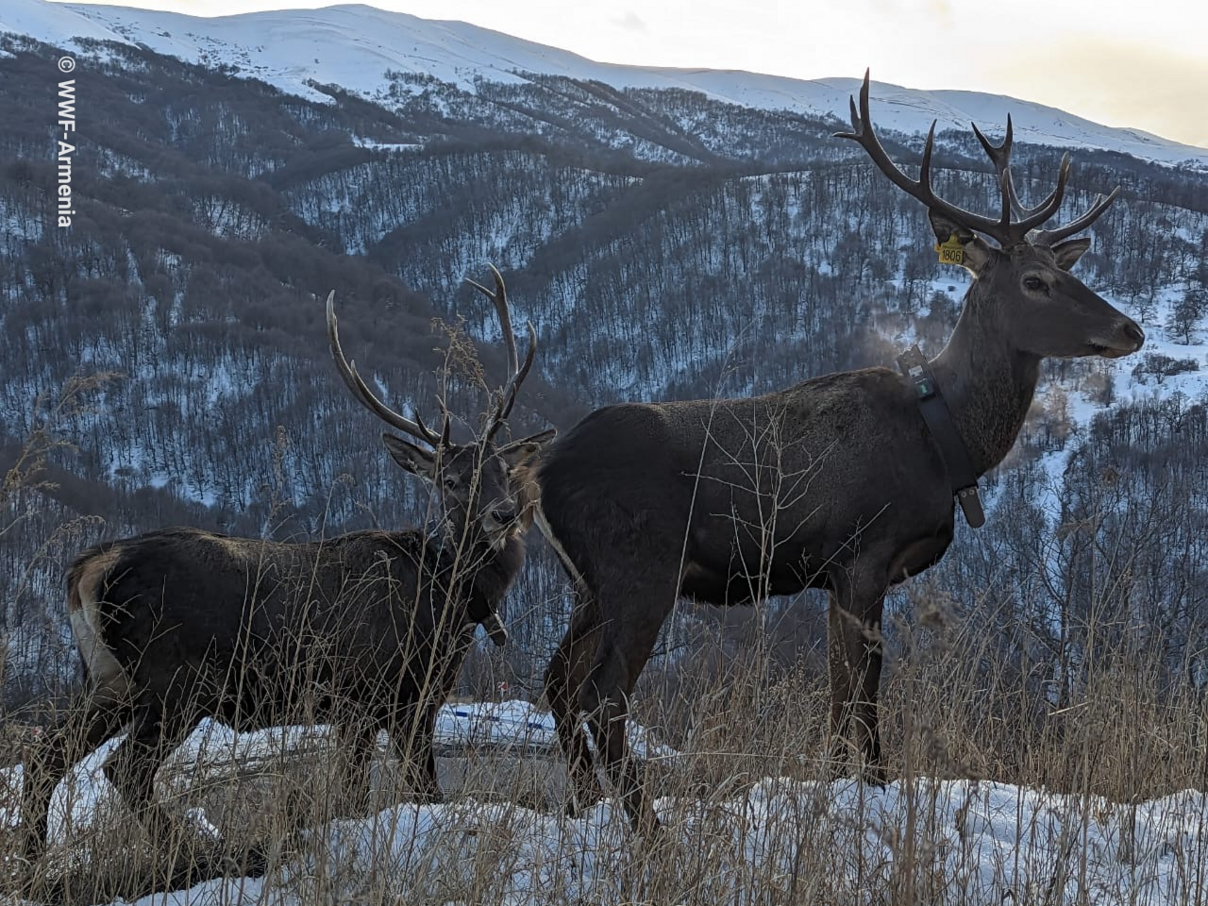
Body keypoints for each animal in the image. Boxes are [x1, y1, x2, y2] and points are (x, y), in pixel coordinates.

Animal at [16, 265, 553, 884]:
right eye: (450, 479)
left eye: (502, 470)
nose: (504, 514)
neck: (451, 598)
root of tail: (87, 568)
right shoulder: (387, 693)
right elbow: (415, 793)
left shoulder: (367, 706)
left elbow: (356, 796)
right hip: (175, 681)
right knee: (124, 771)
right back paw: (207, 852)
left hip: (108, 680)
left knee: (45, 756)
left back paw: (31, 863)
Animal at [533, 72, 1145, 835]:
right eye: (1035, 282)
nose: (1130, 330)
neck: (945, 439)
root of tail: (540, 475)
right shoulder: (864, 552)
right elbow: (865, 690)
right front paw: (873, 787)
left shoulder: (833, 574)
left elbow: (835, 691)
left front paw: (833, 787)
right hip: (637, 566)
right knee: (603, 691)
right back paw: (648, 829)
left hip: (586, 583)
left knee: (557, 680)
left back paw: (584, 807)